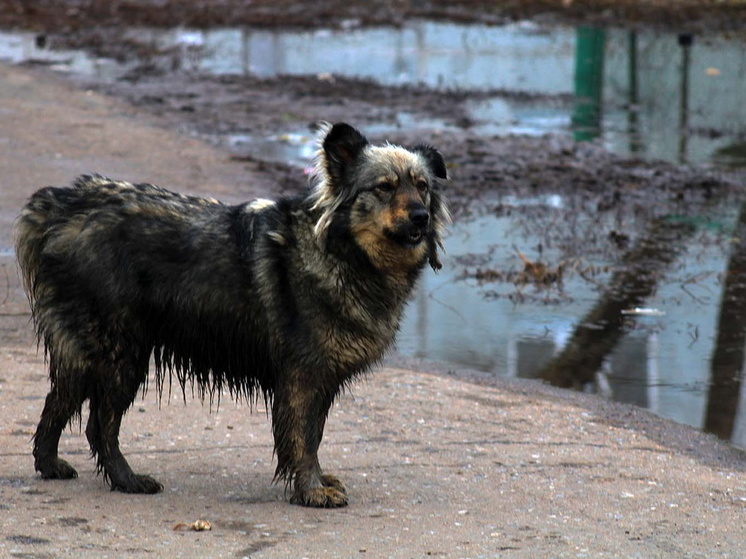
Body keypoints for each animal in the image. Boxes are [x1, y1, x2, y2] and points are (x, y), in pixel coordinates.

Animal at [14, 122, 448, 508]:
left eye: (422, 186)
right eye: (384, 187)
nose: (421, 217)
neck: (343, 252)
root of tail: (61, 205)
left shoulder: (319, 379)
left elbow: (314, 434)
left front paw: (317, 482)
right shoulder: (303, 376)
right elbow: (303, 439)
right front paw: (311, 491)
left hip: (90, 351)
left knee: (59, 401)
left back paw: (50, 465)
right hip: (120, 352)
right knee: (99, 423)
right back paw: (127, 480)